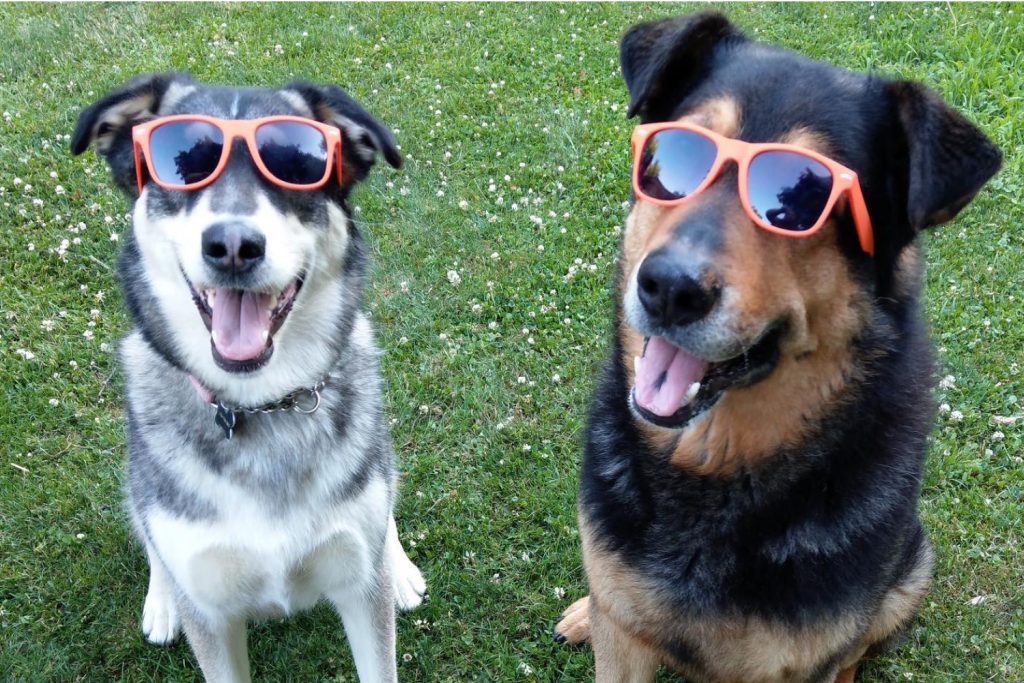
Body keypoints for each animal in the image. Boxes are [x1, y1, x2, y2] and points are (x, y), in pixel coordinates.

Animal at [72, 74, 423, 683]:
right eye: (181, 162)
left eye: (299, 162)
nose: (233, 244)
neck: (262, 404)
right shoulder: (210, 613)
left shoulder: (359, 586)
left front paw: (393, 565)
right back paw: (161, 600)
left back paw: (398, 566)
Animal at [561, 10, 999, 683]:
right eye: (670, 157)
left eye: (800, 204)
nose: (669, 289)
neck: (711, 467)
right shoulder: (623, 639)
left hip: (910, 569)